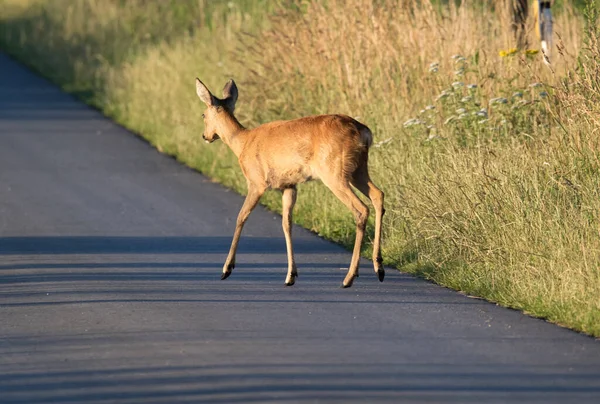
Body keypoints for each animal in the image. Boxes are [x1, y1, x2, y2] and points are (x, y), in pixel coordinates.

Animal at [195, 78, 386, 288]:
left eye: (203, 114)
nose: (205, 136)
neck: (243, 143)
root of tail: (363, 132)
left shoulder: (256, 182)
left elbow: (241, 217)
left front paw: (226, 269)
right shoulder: (288, 186)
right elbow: (287, 224)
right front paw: (291, 275)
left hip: (334, 172)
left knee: (361, 209)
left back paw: (349, 277)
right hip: (358, 169)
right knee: (378, 195)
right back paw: (379, 268)